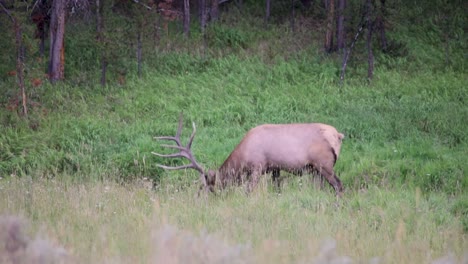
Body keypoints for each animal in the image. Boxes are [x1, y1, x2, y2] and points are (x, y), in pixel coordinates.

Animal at [152, 115, 346, 196]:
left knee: (339, 185)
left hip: (324, 165)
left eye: (211, 187)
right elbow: (276, 189)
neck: (242, 158)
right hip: (316, 170)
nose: (202, 198)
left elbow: (248, 190)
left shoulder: (258, 167)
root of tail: (338, 135)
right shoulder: (274, 168)